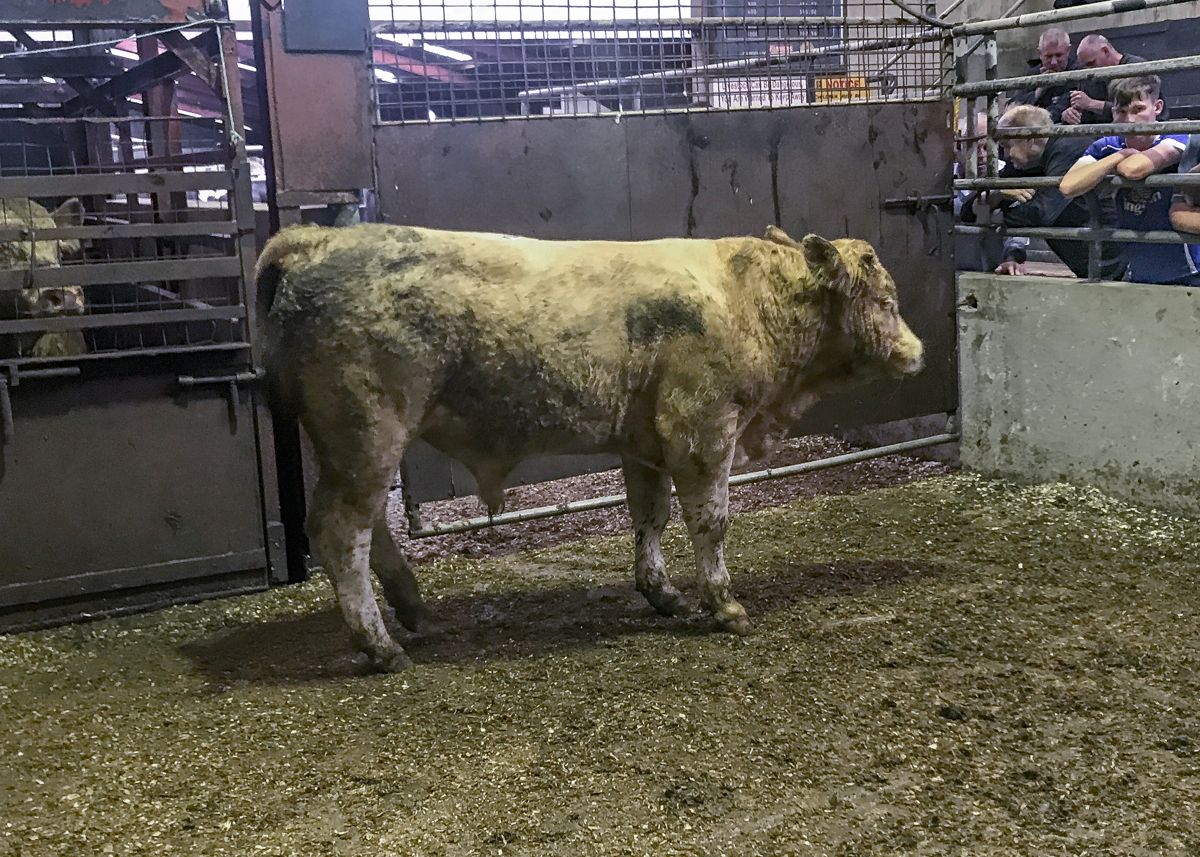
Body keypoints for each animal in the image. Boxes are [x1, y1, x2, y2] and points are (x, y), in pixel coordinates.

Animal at [256, 223, 924, 672]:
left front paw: (664, 594)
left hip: (349, 446)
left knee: (370, 528)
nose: (917, 352)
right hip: (366, 434)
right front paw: (724, 605)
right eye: (886, 302)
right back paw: (381, 645)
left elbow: (649, 515)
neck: (746, 300)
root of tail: (315, 240)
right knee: (342, 531)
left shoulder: (645, 443)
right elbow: (710, 523)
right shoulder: (702, 430)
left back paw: (415, 612)